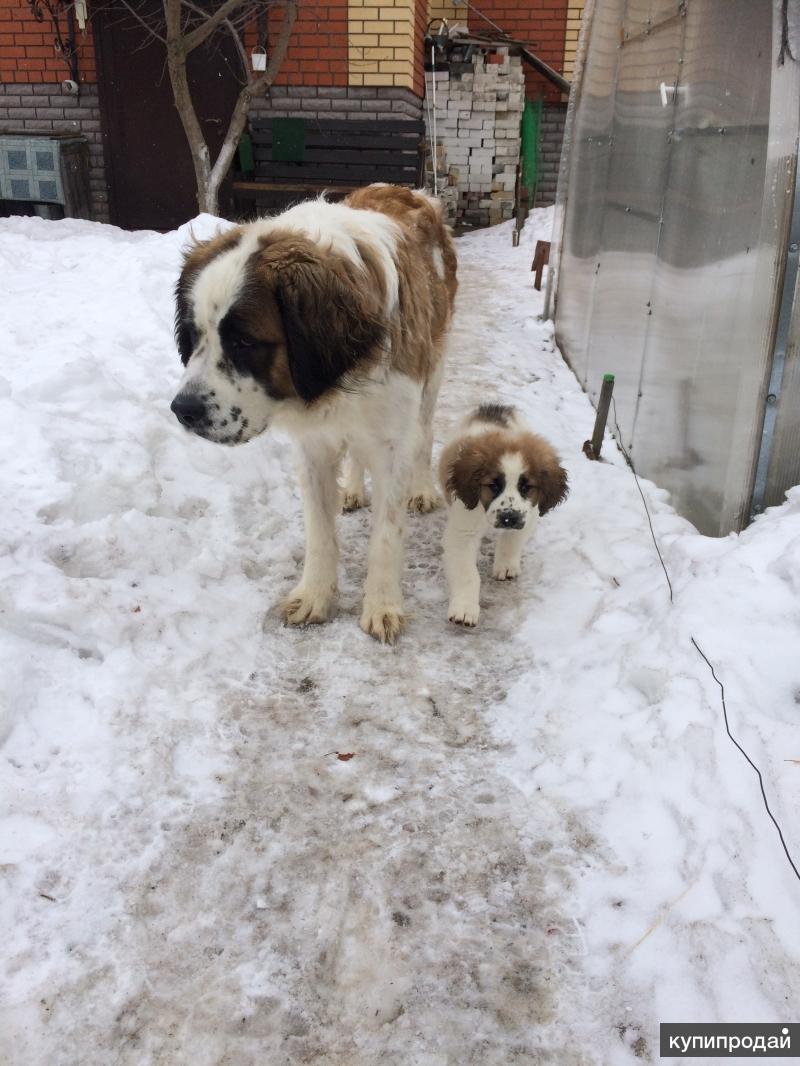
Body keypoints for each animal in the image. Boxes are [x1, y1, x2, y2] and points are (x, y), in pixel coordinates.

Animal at [439, 402, 571, 626]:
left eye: (526, 487)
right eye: (493, 486)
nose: (509, 518)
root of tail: (496, 407)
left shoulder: (529, 515)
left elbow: (512, 540)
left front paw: (506, 565)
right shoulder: (463, 529)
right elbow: (468, 573)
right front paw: (464, 609)